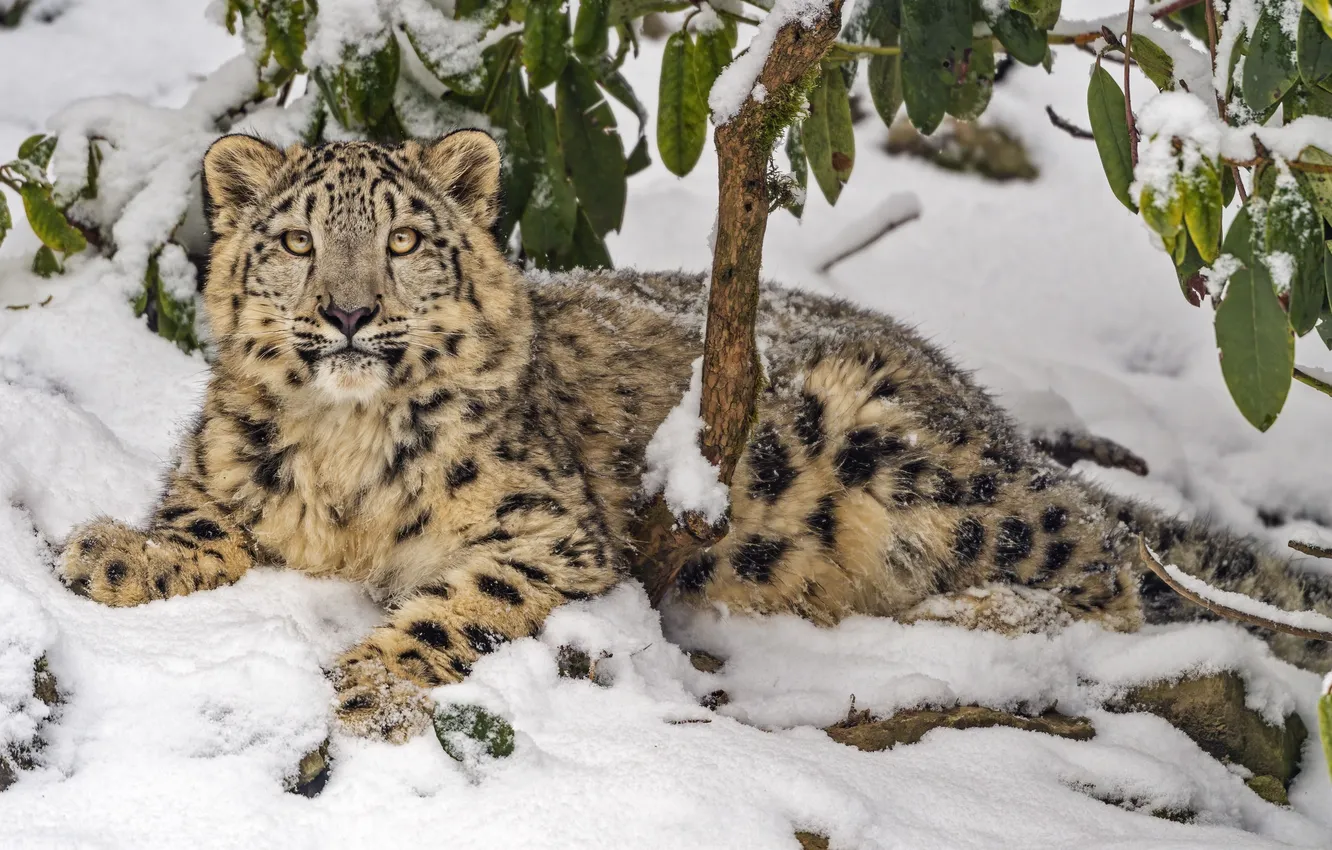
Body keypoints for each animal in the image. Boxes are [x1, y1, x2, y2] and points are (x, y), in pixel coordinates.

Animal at [57, 131, 1332, 743]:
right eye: (298, 240)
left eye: (405, 241)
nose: (350, 312)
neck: (342, 457)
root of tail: (986, 407)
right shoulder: (223, 490)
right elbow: (201, 531)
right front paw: (106, 553)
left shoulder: (551, 534)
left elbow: (460, 601)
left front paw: (369, 677)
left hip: (893, 448)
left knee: (1106, 566)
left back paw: (967, 615)